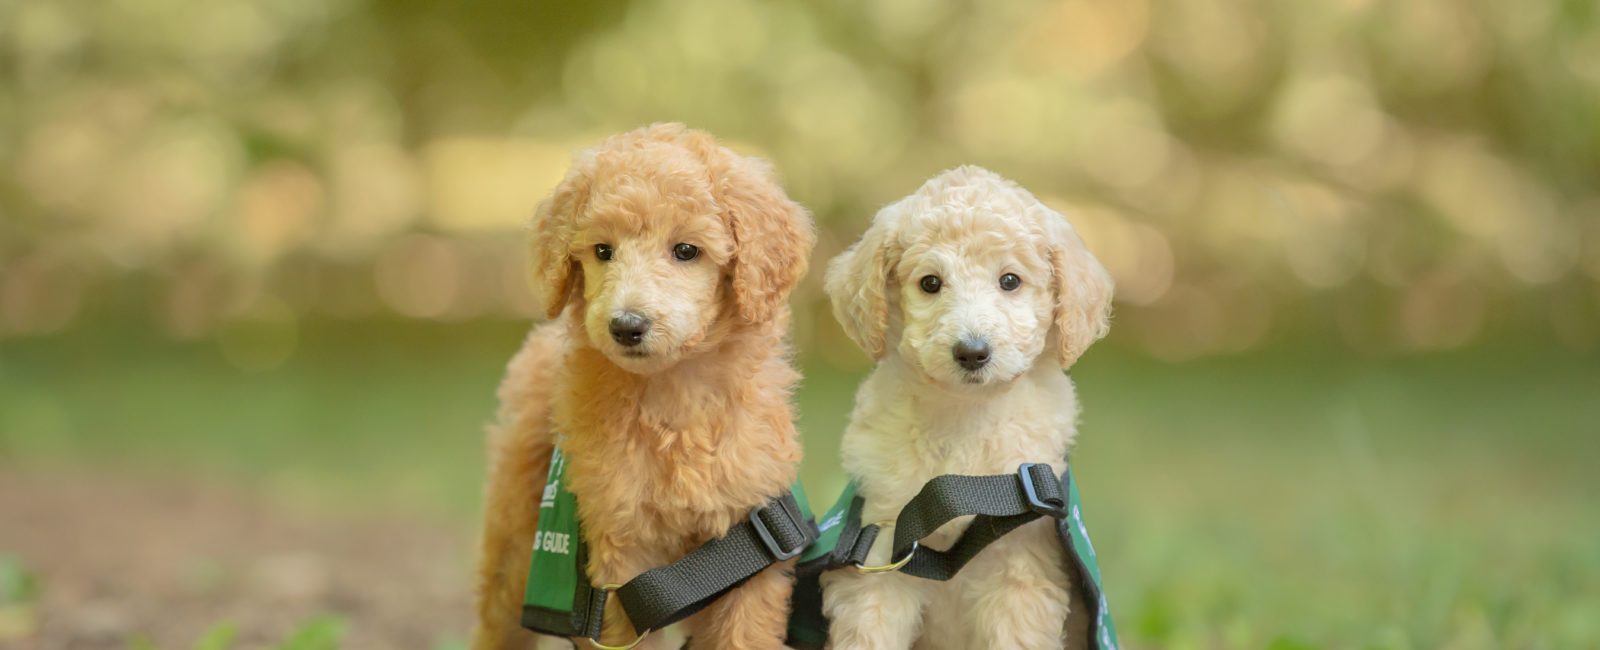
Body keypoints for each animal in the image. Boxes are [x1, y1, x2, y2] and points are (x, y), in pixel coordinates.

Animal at [467, 124, 812, 650]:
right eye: (602, 251)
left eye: (686, 250)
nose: (626, 326)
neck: (674, 390)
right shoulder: (623, 556)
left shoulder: (749, 541)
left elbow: (742, 635)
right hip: (515, 525)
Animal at [819, 166, 1107, 650]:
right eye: (930, 283)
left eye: (1009, 281)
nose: (972, 353)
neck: (965, 420)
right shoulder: (881, 547)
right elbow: (870, 633)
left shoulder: (1021, 566)